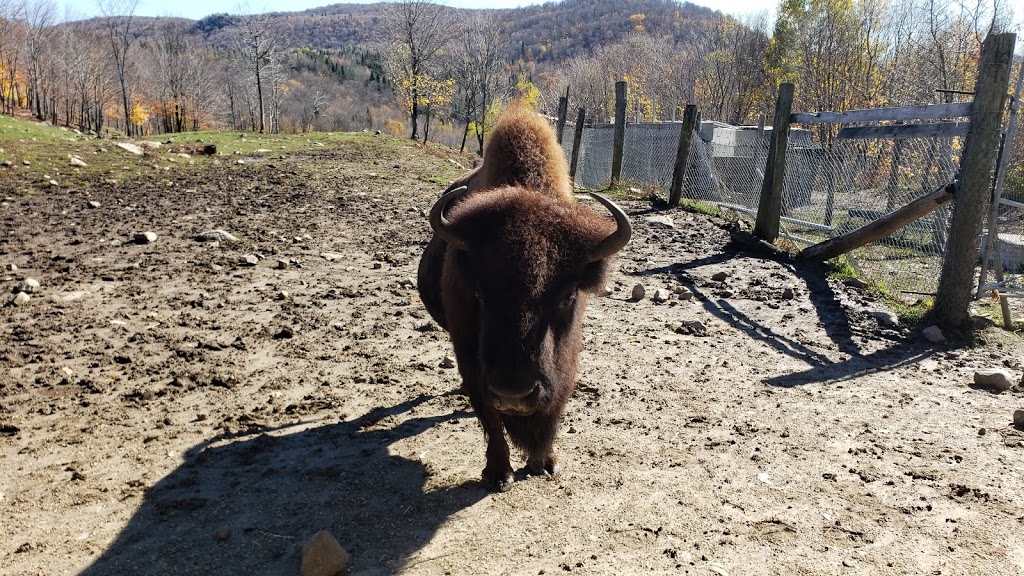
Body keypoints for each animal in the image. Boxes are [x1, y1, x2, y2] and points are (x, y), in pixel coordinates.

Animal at [417, 104, 630, 487]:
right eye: (479, 294)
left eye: (567, 296)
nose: (514, 393)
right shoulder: (471, 360)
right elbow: (490, 417)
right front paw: (498, 473)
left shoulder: (565, 360)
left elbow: (553, 410)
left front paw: (542, 462)